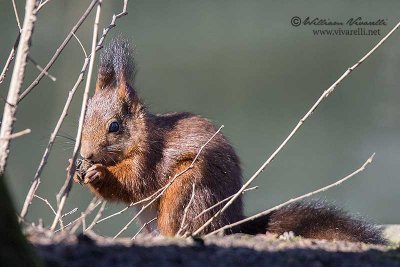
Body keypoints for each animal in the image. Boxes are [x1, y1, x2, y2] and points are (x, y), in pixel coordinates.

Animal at [73, 37, 386, 245]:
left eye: (114, 126)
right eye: (82, 118)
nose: (86, 154)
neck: (140, 136)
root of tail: (231, 224)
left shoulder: (151, 156)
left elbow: (134, 181)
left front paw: (98, 173)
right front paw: (77, 170)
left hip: (188, 190)